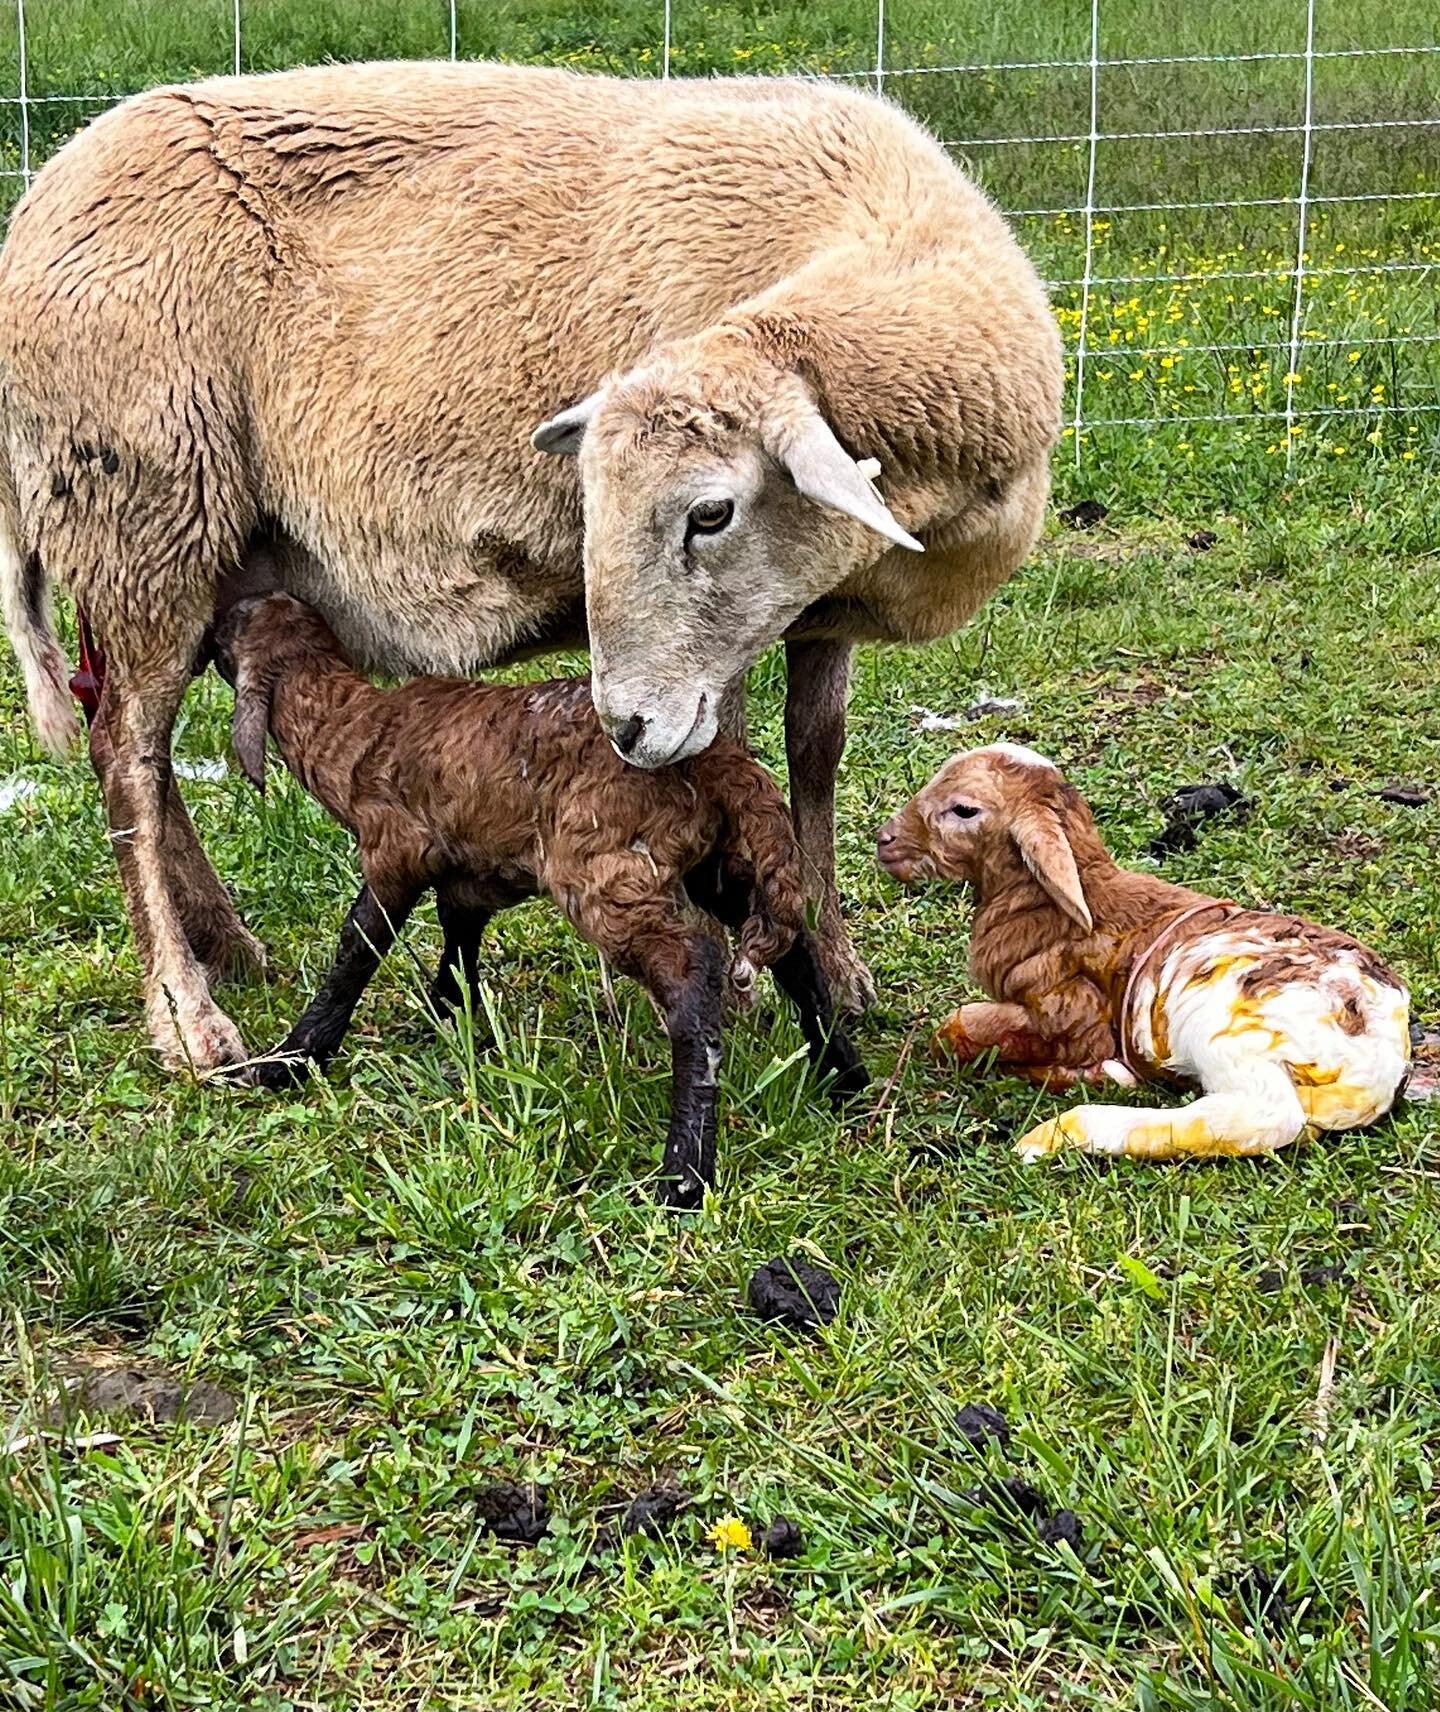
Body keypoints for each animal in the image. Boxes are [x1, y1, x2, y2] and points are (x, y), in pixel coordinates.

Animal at [0, 60, 1054, 1068]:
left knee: (134, 743)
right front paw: (755, 977)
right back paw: (186, 1015)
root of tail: (39, 202)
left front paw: (834, 962)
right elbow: (736, 757)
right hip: (145, 506)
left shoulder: (812, 604)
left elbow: (815, 756)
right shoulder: (718, 651)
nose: (621, 726)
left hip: (195, 546)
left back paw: (230, 947)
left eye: (711, 511)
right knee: (126, 754)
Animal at [210, 595, 866, 1212]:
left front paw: (292, 1057)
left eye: (234, 625)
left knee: (690, 975)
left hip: (607, 871)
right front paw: (452, 1019)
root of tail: (717, 762)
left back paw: (683, 1172)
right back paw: (843, 1075)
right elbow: (458, 937)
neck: (349, 725)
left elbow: (358, 948)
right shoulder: (469, 873)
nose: (214, 621)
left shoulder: (394, 848)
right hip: (713, 860)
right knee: (793, 948)